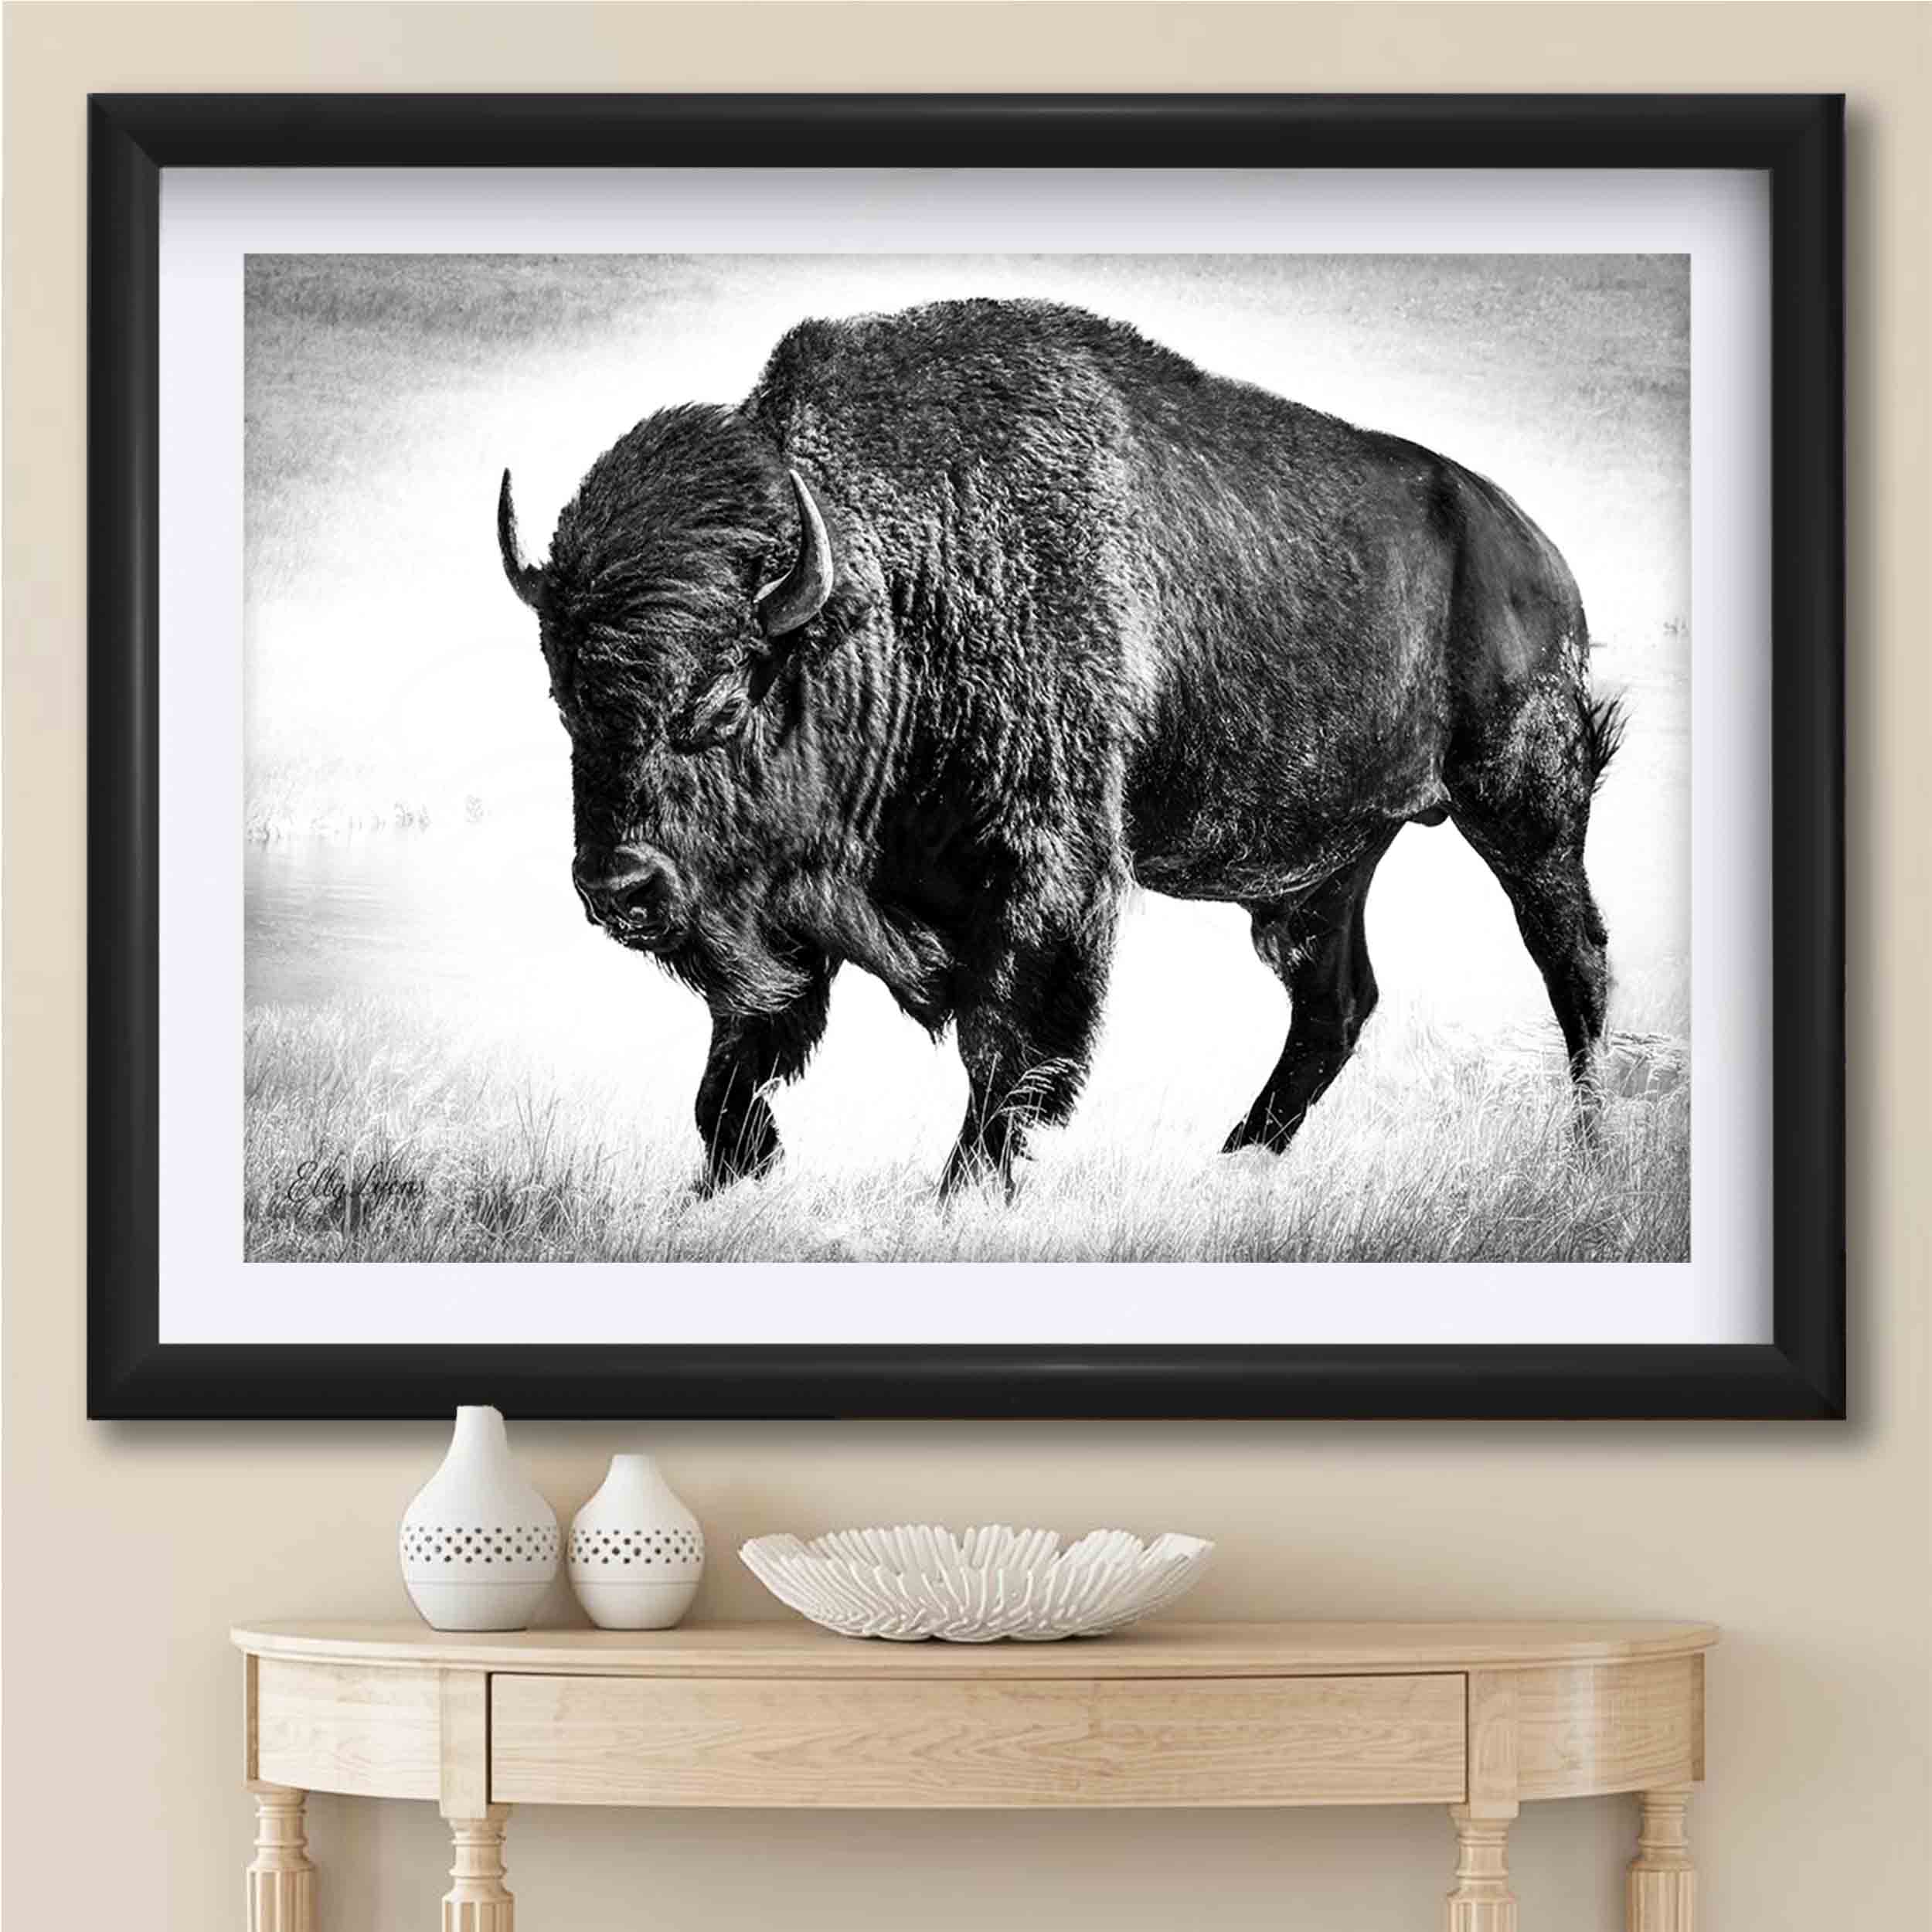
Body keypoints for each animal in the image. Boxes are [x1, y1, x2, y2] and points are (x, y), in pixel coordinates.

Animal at [497, 298, 1621, 1194]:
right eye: (565, 699)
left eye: (726, 695)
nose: (618, 886)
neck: (893, 583)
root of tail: (1536, 552)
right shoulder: (792, 908)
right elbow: (735, 1064)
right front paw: (736, 1174)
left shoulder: (1044, 873)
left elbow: (1006, 1049)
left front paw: (961, 1196)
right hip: (1326, 866)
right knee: (1333, 1002)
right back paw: (1234, 1162)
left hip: (1526, 807)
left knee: (1571, 961)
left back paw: (1589, 1152)